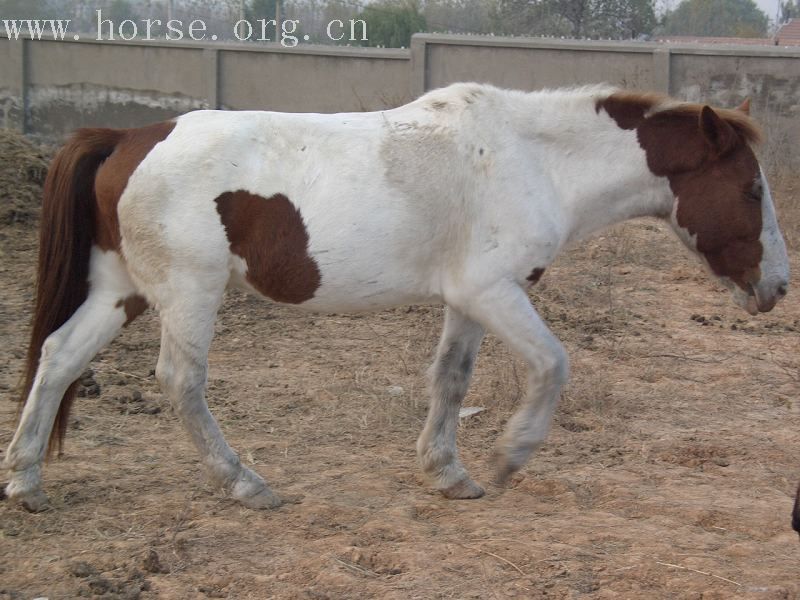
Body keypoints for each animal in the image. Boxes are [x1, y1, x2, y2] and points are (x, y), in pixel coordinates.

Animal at [3, 83, 792, 520]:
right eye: (752, 190)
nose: (778, 288)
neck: (531, 157)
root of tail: (128, 137)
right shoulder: (495, 291)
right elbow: (553, 366)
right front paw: (509, 457)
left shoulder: (467, 300)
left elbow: (450, 381)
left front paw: (448, 473)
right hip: (188, 294)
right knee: (180, 382)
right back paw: (246, 485)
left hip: (123, 292)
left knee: (59, 356)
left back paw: (26, 480)